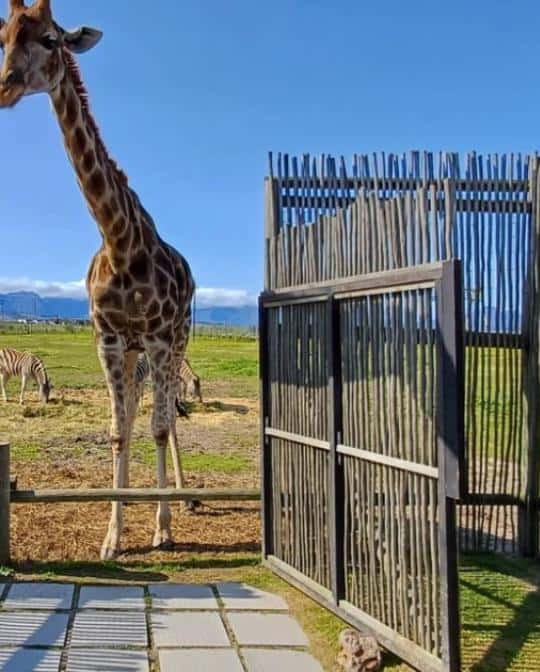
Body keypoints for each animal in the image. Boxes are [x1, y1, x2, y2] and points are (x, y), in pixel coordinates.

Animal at [0, 0, 195, 559]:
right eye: (3, 37)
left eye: (50, 39)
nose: (4, 86)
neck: (119, 240)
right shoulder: (108, 338)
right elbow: (117, 431)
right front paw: (112, 537)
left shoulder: (157, 337)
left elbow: (157, 426)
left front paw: (161, 530)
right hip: (131, 351)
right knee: (132, 418)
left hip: (176, 339)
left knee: (166, 418)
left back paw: (176, 504)